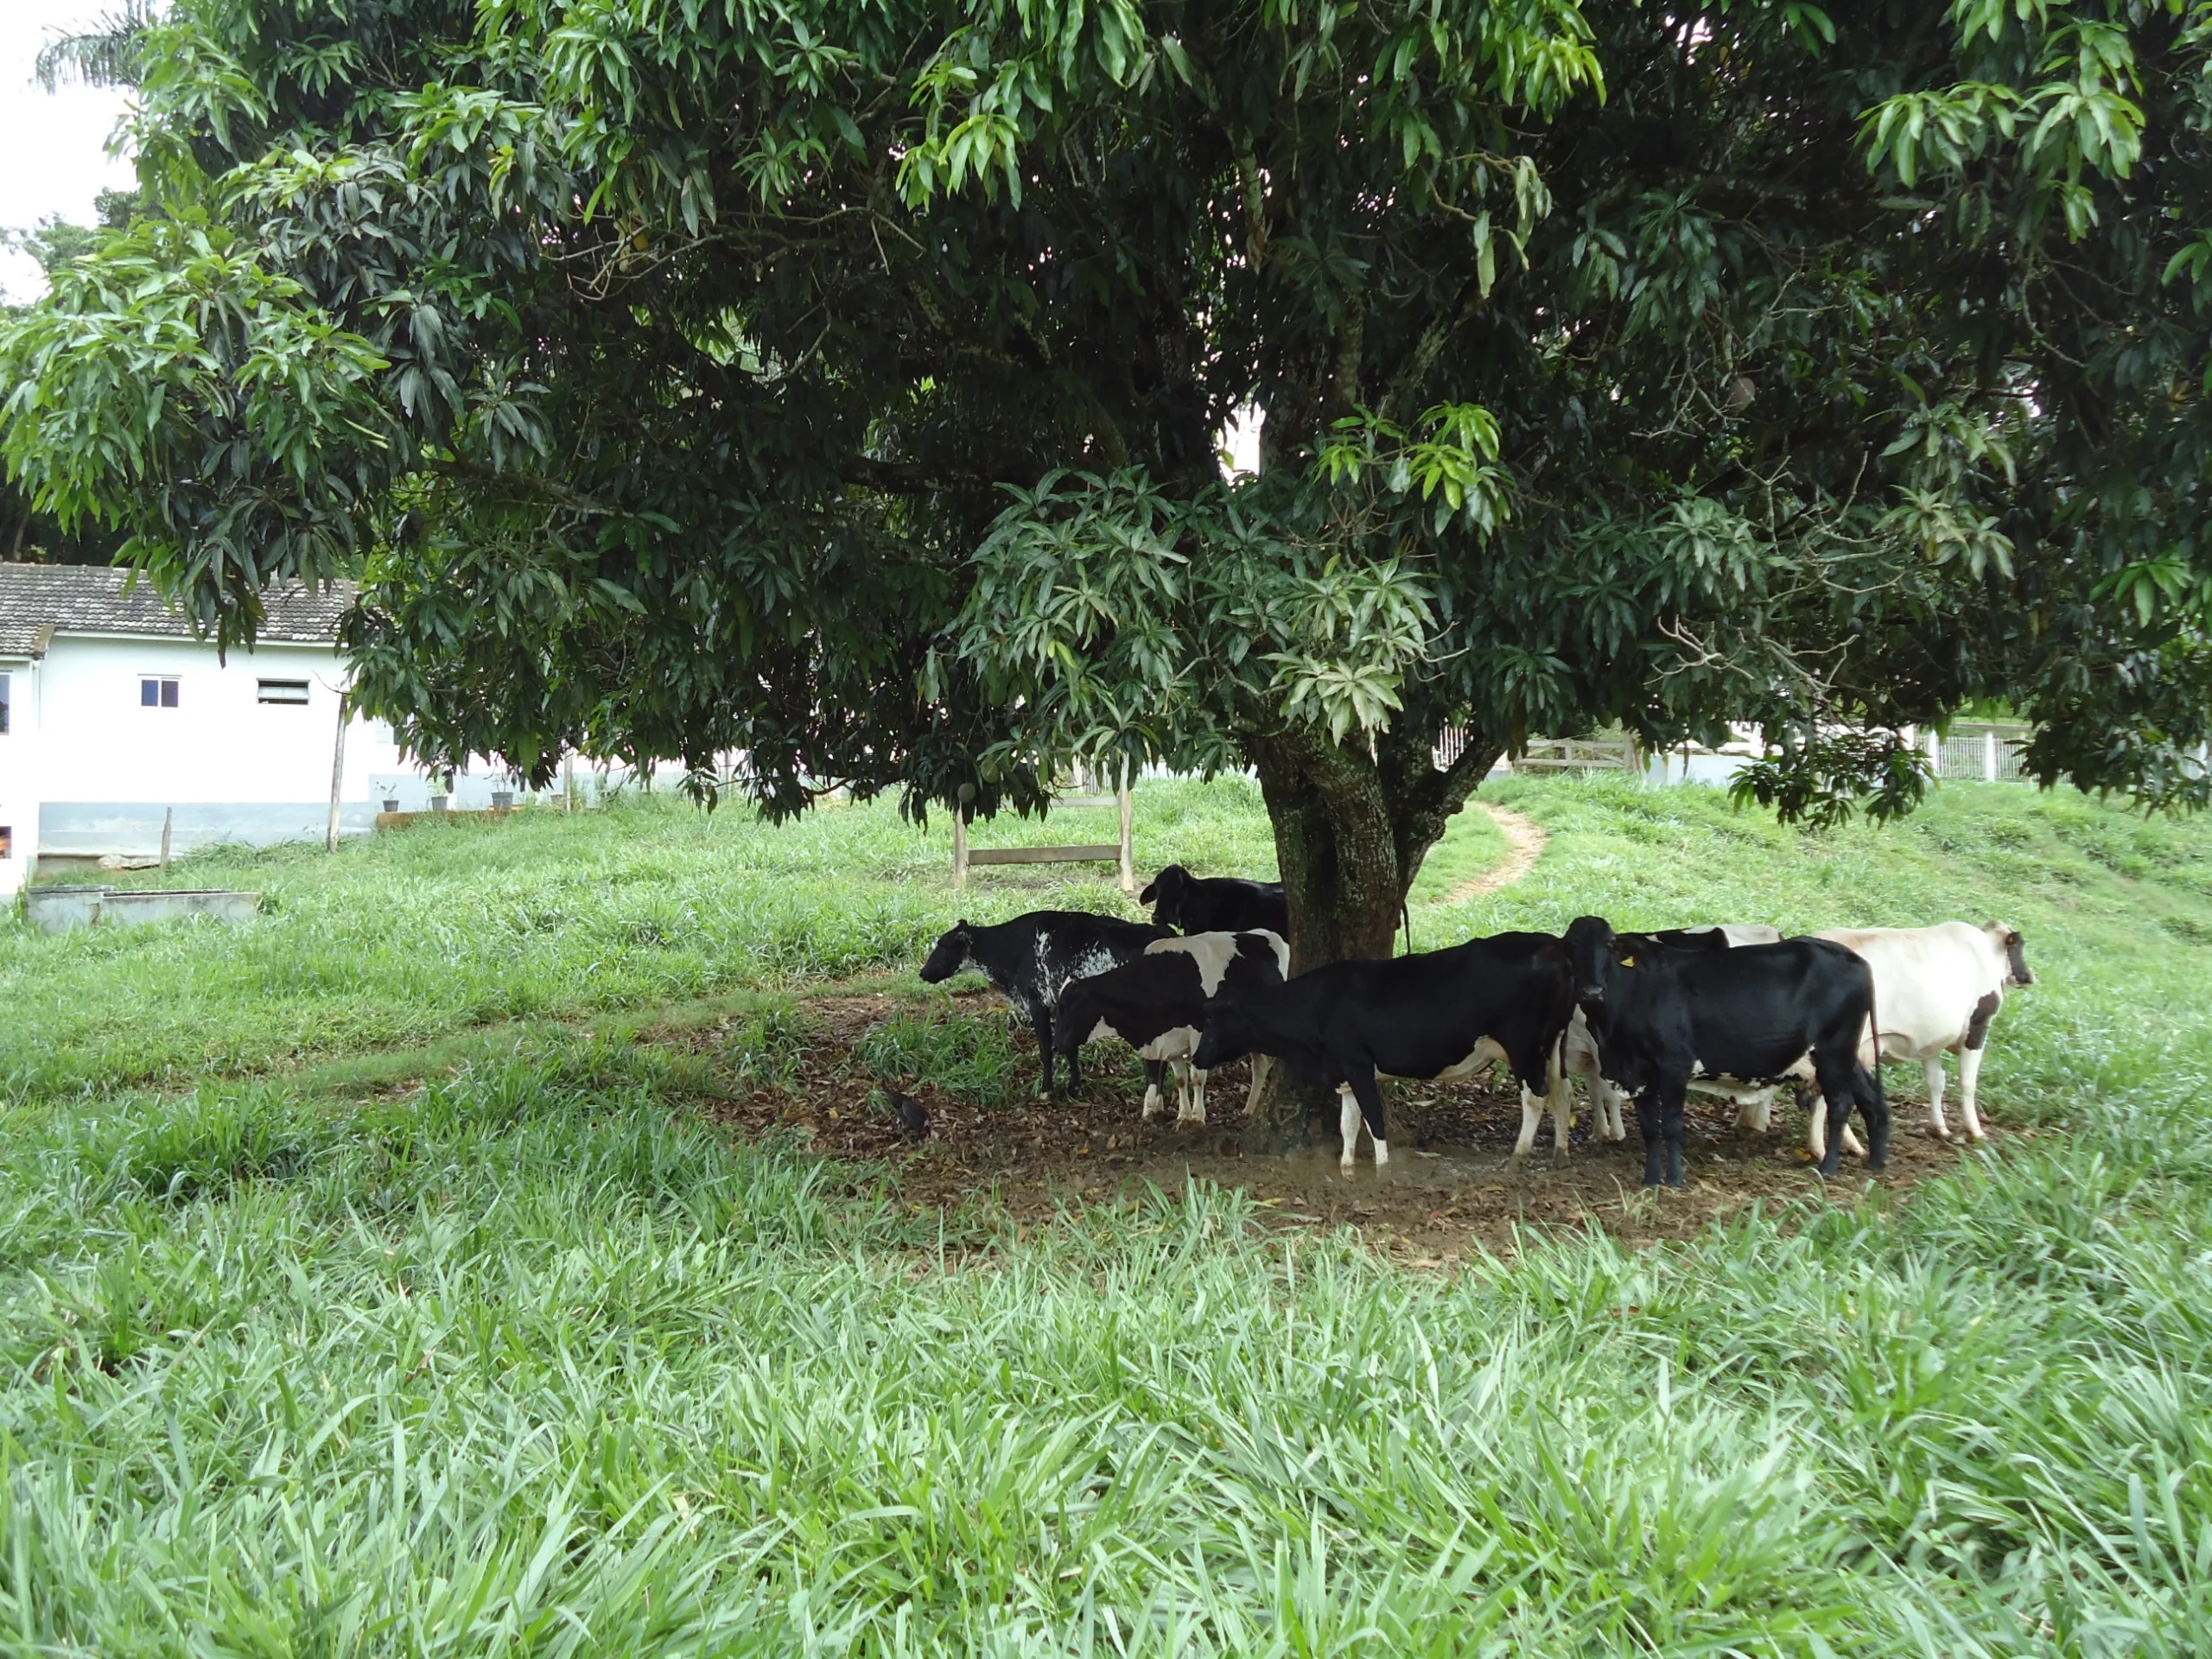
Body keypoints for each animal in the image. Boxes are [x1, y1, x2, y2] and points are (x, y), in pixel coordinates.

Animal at [915, 915, 1176, 1096]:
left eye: (943, 946)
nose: (923, 972)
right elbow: (1069, 1049)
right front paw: (1075, 1088)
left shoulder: (1037, 1003)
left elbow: (1045, 1049)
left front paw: (1046, 1090)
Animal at [1057, 938, 1292, 1132]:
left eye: (1068, 1007)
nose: (1055, 1045)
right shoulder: (1166, 1040)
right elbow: (1178, 1079)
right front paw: (1180, 1116)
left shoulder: (1199, 1032)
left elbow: (1197, 1077)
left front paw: (1198, 1118)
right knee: (1260, 1065)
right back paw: (1249, 1109)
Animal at [1194, 938, 1574, 1167]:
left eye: (1211, 1022)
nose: (1196, 1059)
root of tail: (1553, 945)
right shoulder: (1343, 1072)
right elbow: (1348, 1124)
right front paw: (1346, 1167)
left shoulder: (1358, 1064)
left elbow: (1374, 1121)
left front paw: (1381, 1171)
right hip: (1555, 1042)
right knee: (1562, 1091)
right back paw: (1560, 1152)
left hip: (1523, 1045)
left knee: (1535, 1097)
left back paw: (1518, 1157)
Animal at [1566, 915, 1893, 1185]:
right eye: (1572, 944)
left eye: (1609, 944)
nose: (1592, 991)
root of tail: (1853, 958)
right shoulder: (1637, 1071)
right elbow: (1649, 1128)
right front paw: (1651, 1180)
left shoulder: (1675, 1065)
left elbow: (1670, 1125)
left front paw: (1675, 1180)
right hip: (1837, 1053)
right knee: (1869, 1096)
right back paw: (1876, 1161)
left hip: (1835, 1048)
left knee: (1840, 1103)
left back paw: (1829, 1167)